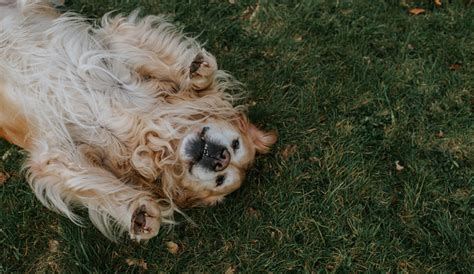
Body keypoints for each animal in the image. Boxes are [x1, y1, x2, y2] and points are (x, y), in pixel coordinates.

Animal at [0, 0, 276, 241]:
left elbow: (93, 181)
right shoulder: (116, 38)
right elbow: (176, 70)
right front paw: (198, 72)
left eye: (222, 180)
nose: (221, 158)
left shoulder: (56, 153)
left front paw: (138, 211)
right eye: (236, 144)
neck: (147, 128)